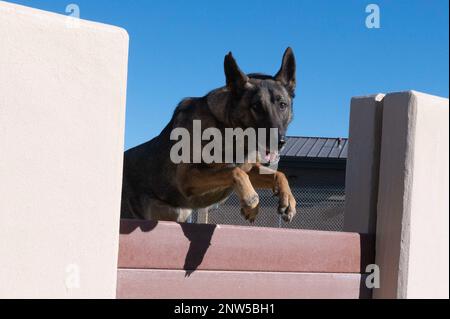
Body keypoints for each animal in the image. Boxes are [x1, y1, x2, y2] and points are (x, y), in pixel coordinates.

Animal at [123, 48, 298, 225]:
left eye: (282, 105)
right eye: (256, 106)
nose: (279, 142)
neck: (229, 130)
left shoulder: (250, 168)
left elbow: (279, 174)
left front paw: (288, 200)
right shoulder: (187, 177)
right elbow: (234, 171)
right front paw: (250, 201)